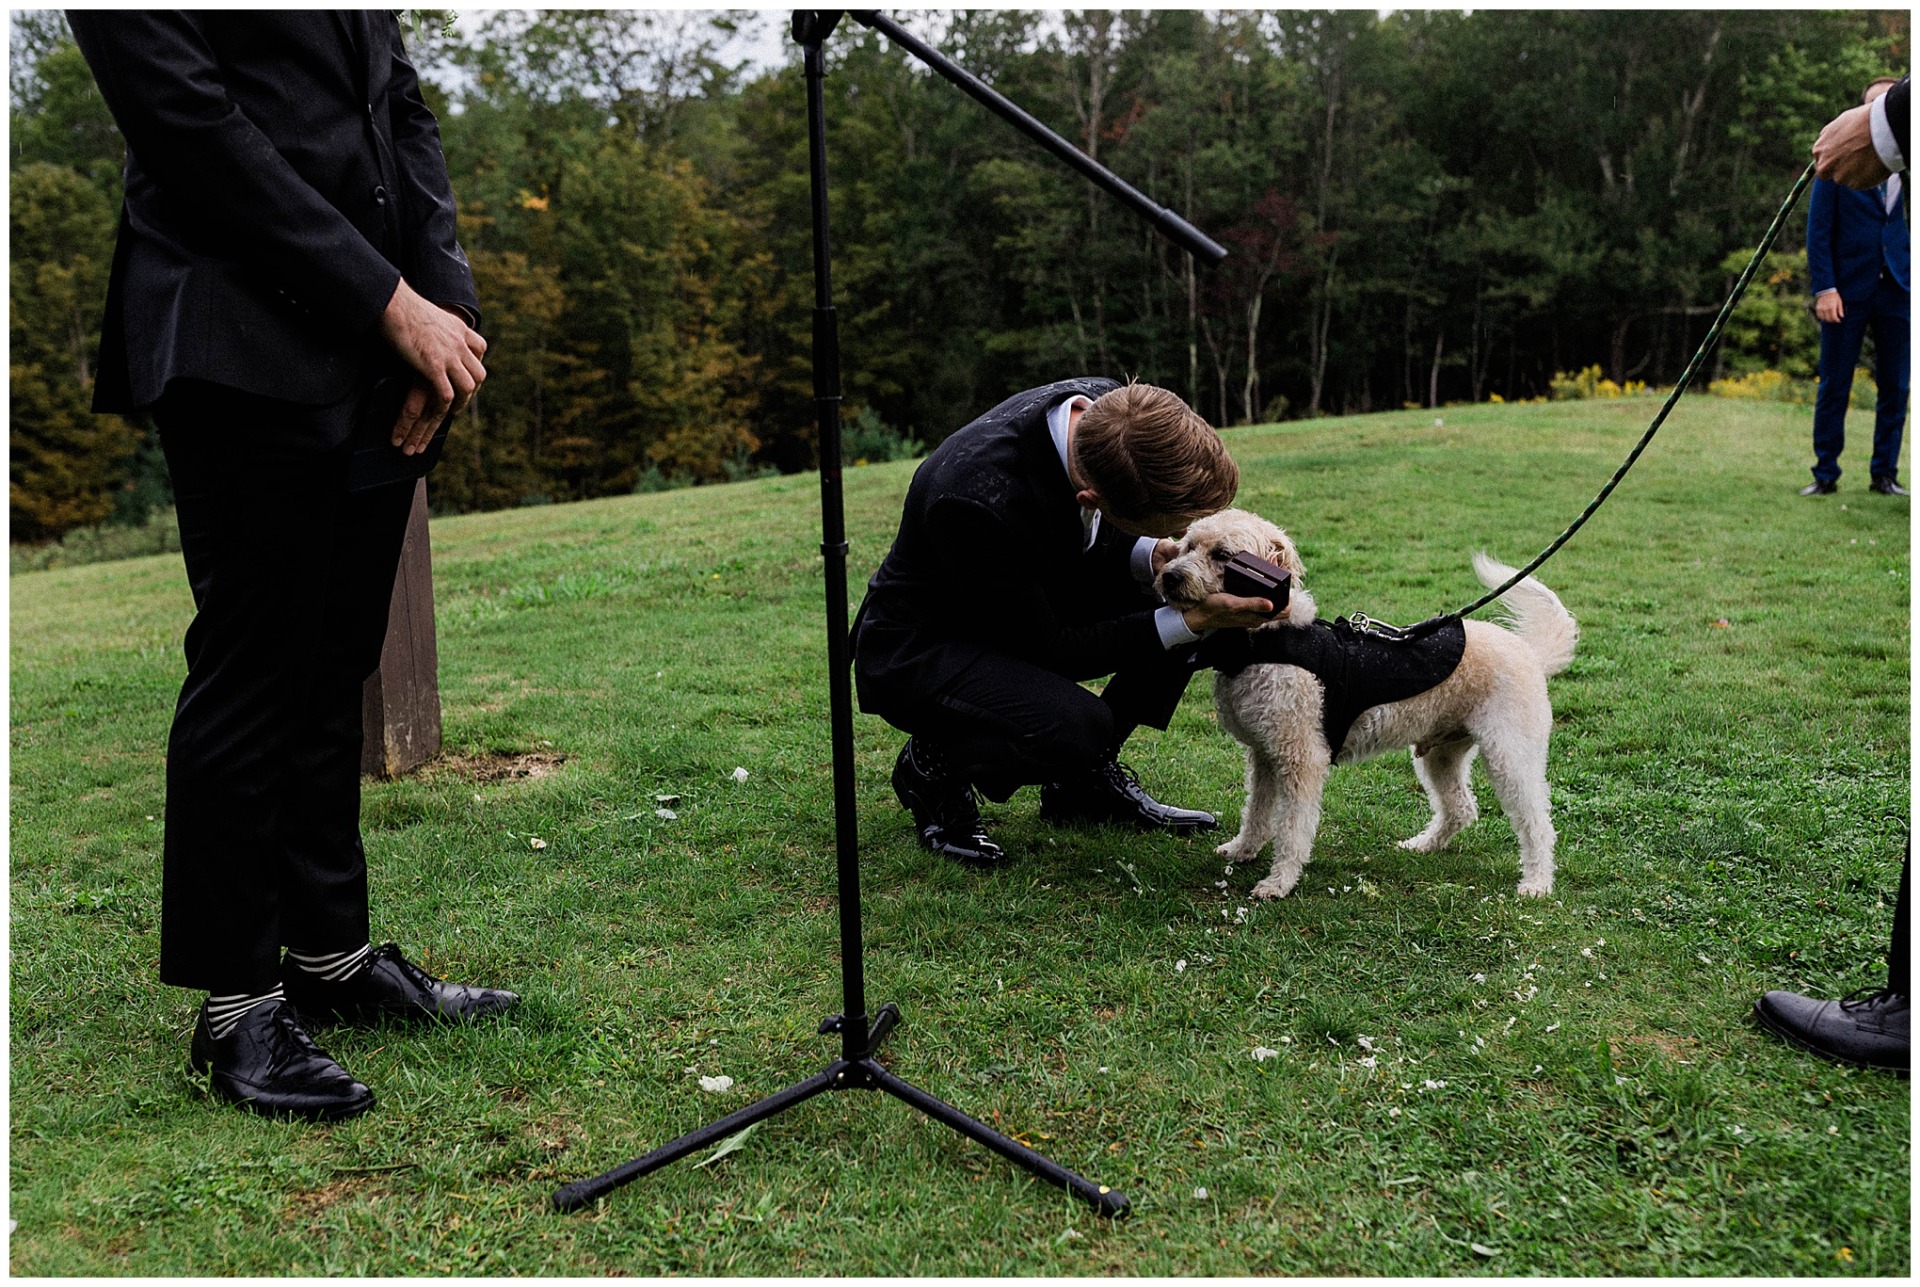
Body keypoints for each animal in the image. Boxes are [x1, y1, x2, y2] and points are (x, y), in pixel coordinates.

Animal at [1152, 510, 1574, 902]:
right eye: (1188, 545)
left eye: (1223, 555)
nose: (1169, 577)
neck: (1263, 642)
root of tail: (1531, 654)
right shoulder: (1264, 755)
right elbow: (1256, 812)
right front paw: (1242, 850)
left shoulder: (1301, 760)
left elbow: (1291, 829)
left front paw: (1279, 883)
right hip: (1440, 754)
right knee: (1461, 808)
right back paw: (1424, 845)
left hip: (1511, 756)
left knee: (1538, 823)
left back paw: (1537, 883)